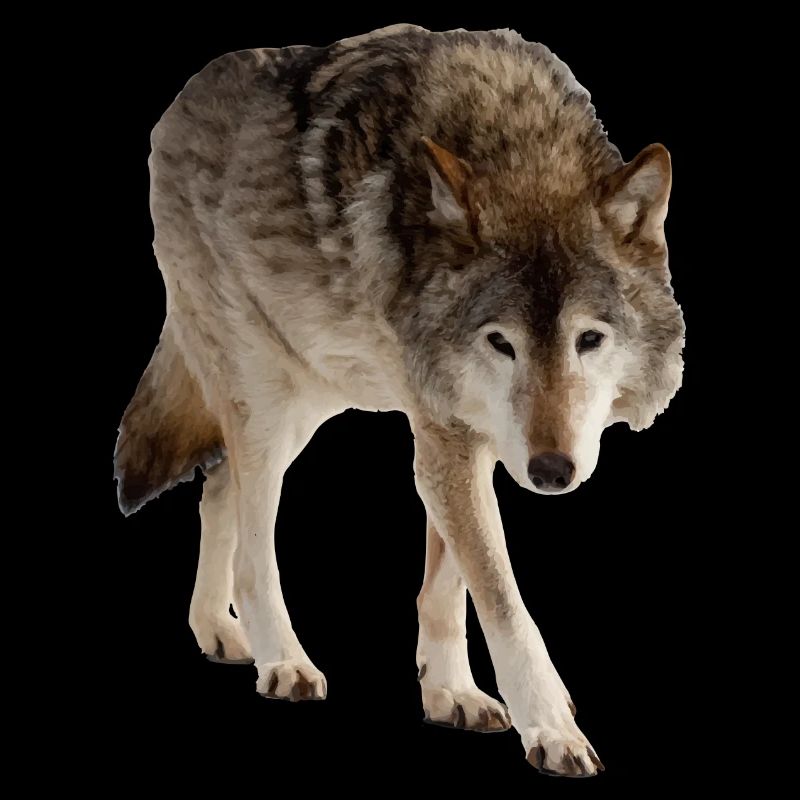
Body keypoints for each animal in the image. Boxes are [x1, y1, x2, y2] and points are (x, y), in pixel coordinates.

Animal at [114, 24, 684, 777]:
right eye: (501, 344)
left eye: (589, 339)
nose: (550, 472)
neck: (516, 140)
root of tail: (180, 99)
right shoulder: (447, 436)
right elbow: (502, 601)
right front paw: (553, 729)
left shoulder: (456, 434)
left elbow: (445, 588)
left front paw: (449, 694)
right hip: (266, 401)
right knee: (252, 541)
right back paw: (281, 660)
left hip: (308, 397)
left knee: (216, 488)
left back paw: (216, 629)